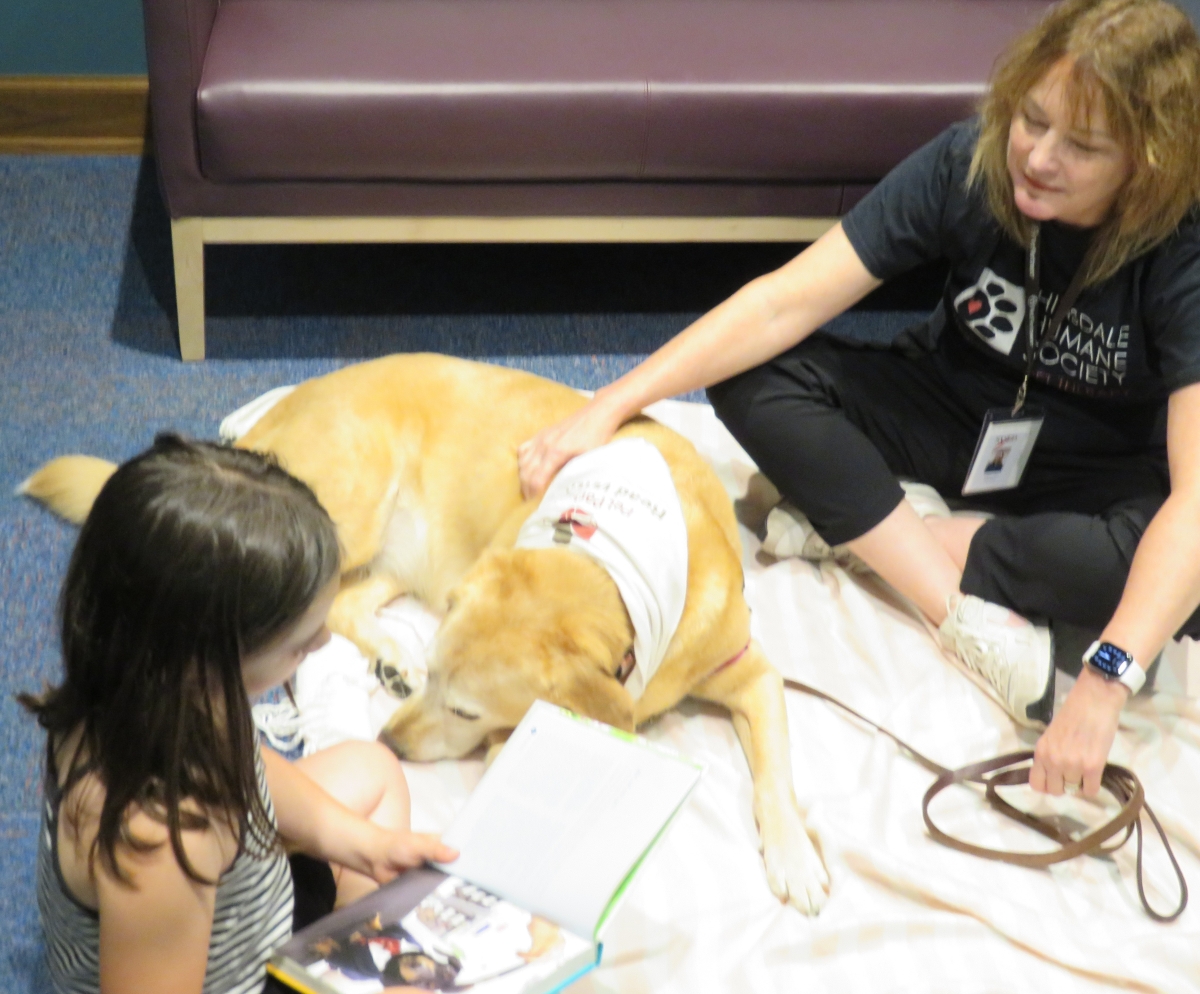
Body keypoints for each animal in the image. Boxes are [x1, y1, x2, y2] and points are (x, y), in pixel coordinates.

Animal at [21, 352, 825, 912]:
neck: (603, 569)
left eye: (463, 706)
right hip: (352, 504)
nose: (389, 746)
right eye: (442, 683)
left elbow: (778, 773)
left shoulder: (750, 668)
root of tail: (263, 426)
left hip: (406, 558)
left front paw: (795, 856)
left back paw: (387, 656)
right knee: (315, 608)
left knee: (347, 604)